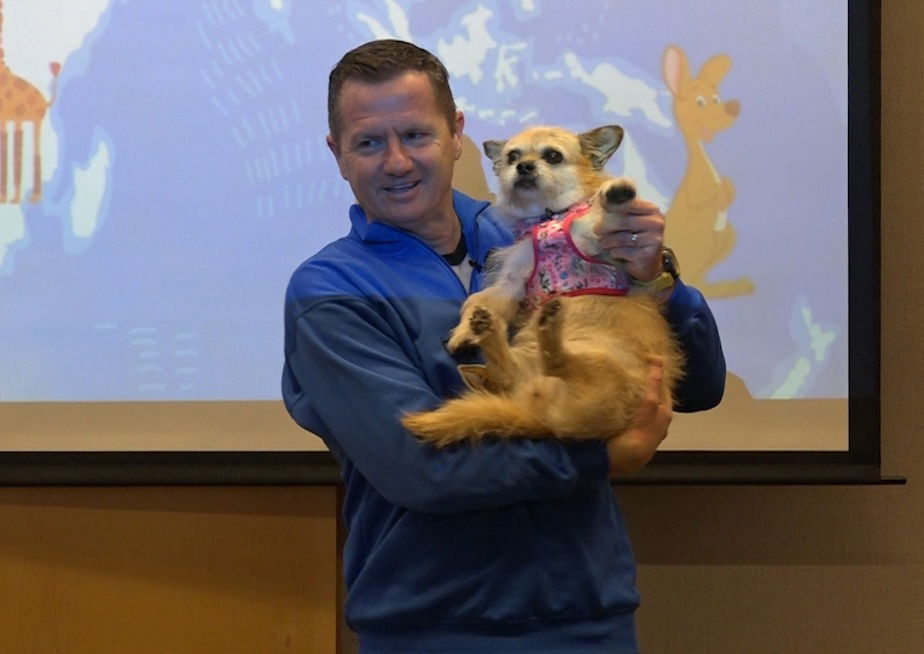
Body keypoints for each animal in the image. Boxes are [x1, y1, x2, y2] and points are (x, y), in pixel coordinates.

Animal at [400, 125, 684, 448]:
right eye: (512, 156)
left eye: (553, 156)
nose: (524, 166)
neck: (547, 218)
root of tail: (542, 421)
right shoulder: (511, 281)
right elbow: (480, 300)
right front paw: (465, 331)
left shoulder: (596, 237)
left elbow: (604, 217)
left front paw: (616, 195)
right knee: (519, 371)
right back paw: (499, 330)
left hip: (601, 367)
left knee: (553, 363)